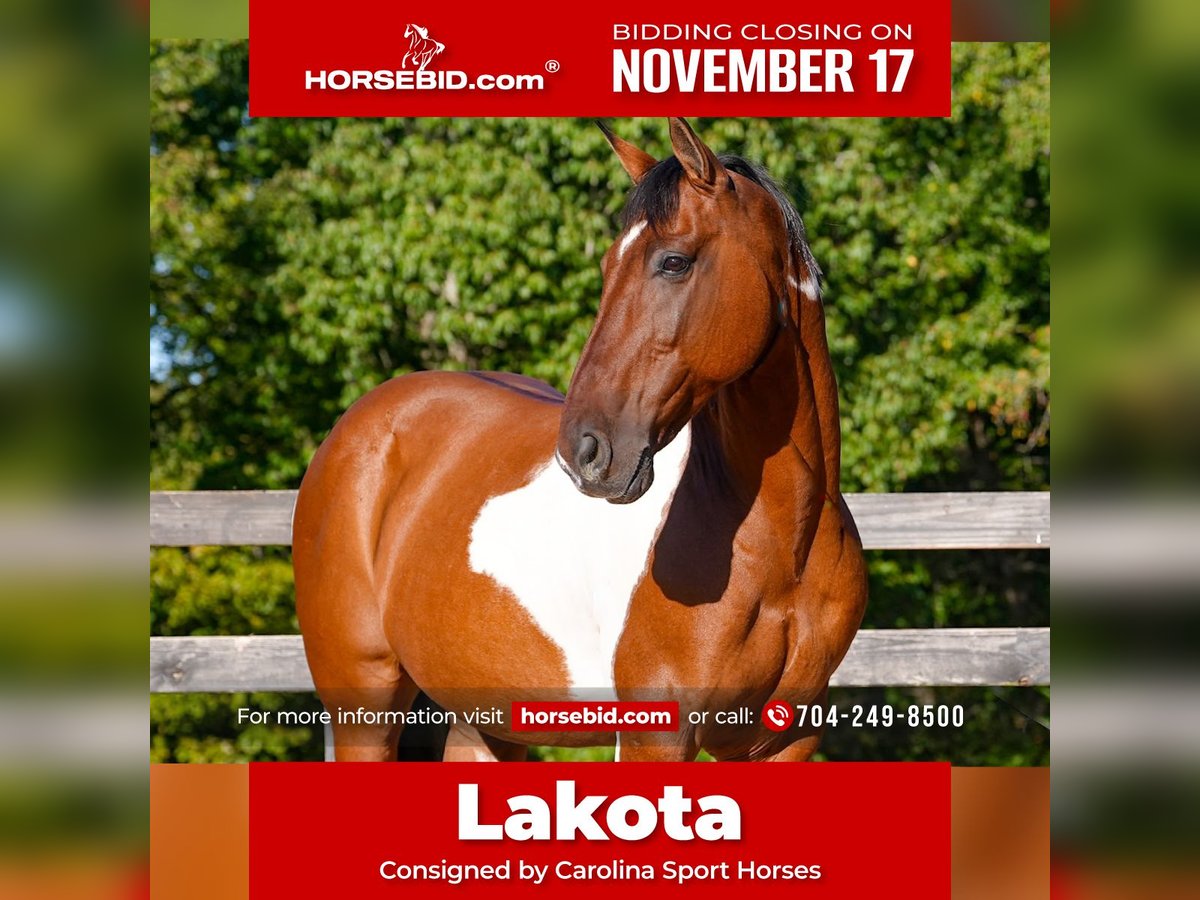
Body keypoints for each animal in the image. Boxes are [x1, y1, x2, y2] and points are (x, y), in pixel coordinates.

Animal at [292, 118, 868, 762]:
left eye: (674, 261)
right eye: (607, 266)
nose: (584, 452)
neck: (781, 547)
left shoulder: (785, 738)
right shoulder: (657, 734)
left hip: (485, 719)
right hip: (363, 707)